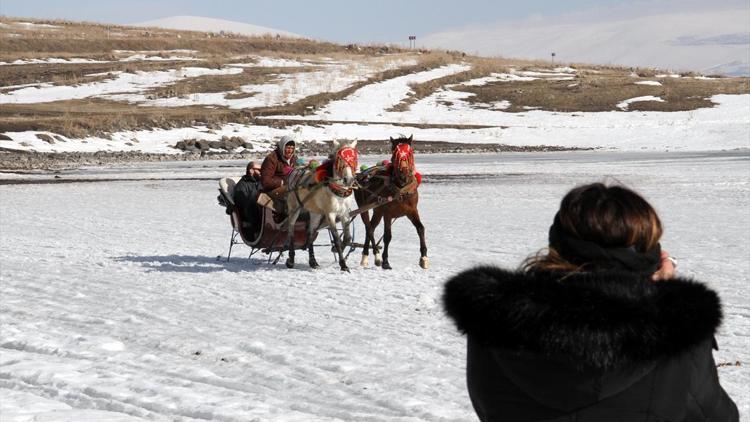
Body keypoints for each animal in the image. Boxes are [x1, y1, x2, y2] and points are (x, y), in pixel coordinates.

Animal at [286, 138, 360, 270]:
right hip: (294, 208)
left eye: (354, 158)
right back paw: (291, 259)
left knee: (310, 233)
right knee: (291, 229)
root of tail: (294, 171)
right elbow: (336, 238)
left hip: (315, 212)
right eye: (339, 159)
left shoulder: (345, 213)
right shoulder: (330, 213)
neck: (338, 191)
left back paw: (313, 261)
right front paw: (343, 264)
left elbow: (347, 238)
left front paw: (337, 249)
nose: (349, 180)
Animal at [354, 135, 428, 270]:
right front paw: (385, 261)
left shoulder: (412, 210)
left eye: (410, 152)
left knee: (371, 227)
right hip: (363, 207)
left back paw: (369, 256)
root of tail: (360, 175)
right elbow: (387, 236)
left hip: (377, 211)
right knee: (369, 228)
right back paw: (373, 256)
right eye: (395, 154)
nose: (403, 174)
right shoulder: (387, 213)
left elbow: (420, 228)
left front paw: (424, 258)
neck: (401, 189)